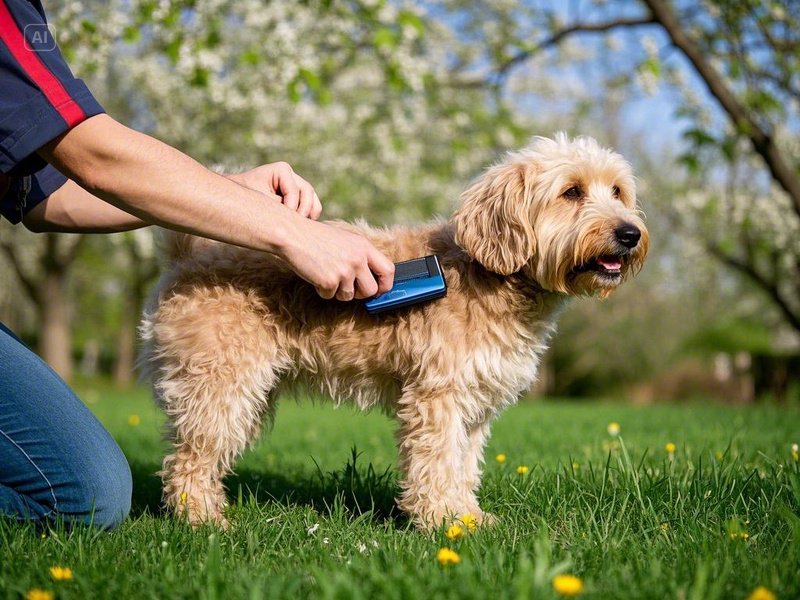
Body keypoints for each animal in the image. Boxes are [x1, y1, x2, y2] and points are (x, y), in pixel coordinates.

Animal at [138, 132, 648, 528]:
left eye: (618, 192)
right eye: (571, 192)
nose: (630, 234)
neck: (490, 274)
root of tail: (187, 256)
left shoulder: (474, 403)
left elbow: (463, 465)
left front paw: (469, 517)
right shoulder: (438, 396)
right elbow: (437, 461)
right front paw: (441, 522)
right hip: (221, 387)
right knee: (188, 459)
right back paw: (203, 521)